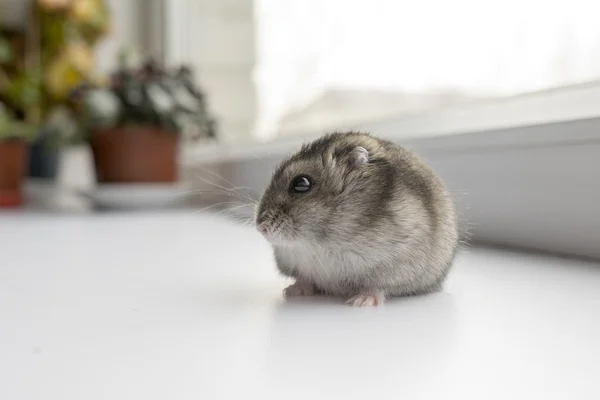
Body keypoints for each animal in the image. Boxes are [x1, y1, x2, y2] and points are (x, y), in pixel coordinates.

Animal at [255, 131, 458, 306]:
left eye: (301, 183)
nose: (261, 228)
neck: (317, 242)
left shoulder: (398, 264)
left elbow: (377, 286)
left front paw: (360, 302)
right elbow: (305, 279)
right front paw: (291, 291)